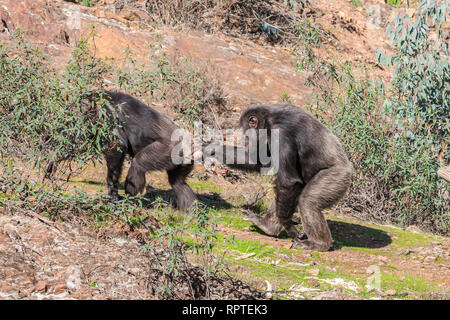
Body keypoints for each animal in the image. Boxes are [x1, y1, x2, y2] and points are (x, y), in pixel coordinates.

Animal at [213, 104, 354, 251]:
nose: (245, 141)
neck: (268, 120)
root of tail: (349, 168)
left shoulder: (280, 135)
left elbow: (287, 182)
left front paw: (289, 226)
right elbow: (259, 161)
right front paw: (211, 148)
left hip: (336, 177)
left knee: (307, 201)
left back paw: (318, 243)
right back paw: (268, 226)